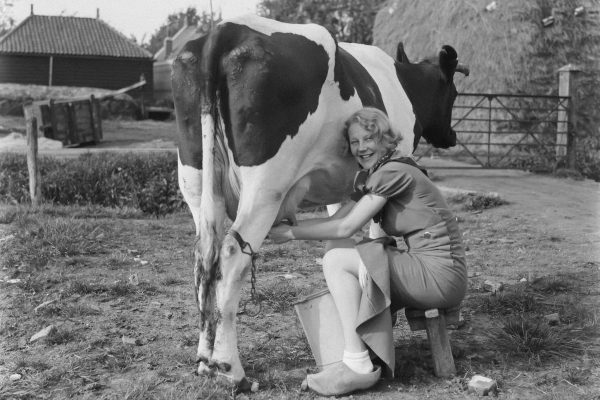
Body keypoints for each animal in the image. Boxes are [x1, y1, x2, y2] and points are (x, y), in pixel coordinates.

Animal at [171, 13, 472, 390]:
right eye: (454, 92)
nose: (452, 136)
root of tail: (225, 29)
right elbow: (376, 240)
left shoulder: (341, 191)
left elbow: (338, 238)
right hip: (265, 187)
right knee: (231, 256)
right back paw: (230, 369)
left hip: (196, 182)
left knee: (202, 259)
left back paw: (204, 360)